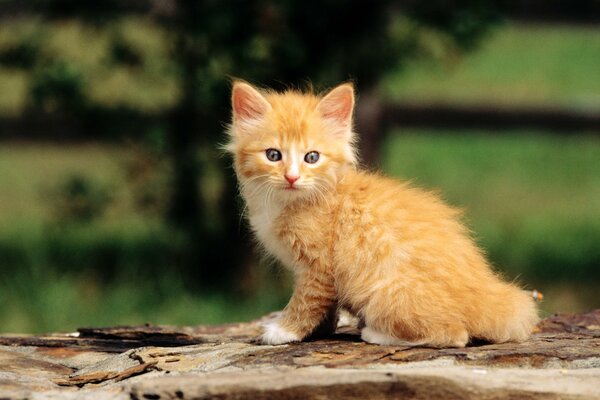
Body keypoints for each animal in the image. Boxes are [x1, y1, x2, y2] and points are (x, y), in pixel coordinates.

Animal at [225, 80, 540, 346]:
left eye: (311, 157)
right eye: (273, 155)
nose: (291, 177)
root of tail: (486, 295)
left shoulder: (319, 267)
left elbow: (306, 301)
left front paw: (283, 331)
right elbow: (326, 305)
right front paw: (321, 329)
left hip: (386, 292)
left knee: (454, 334)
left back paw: (376, 334)